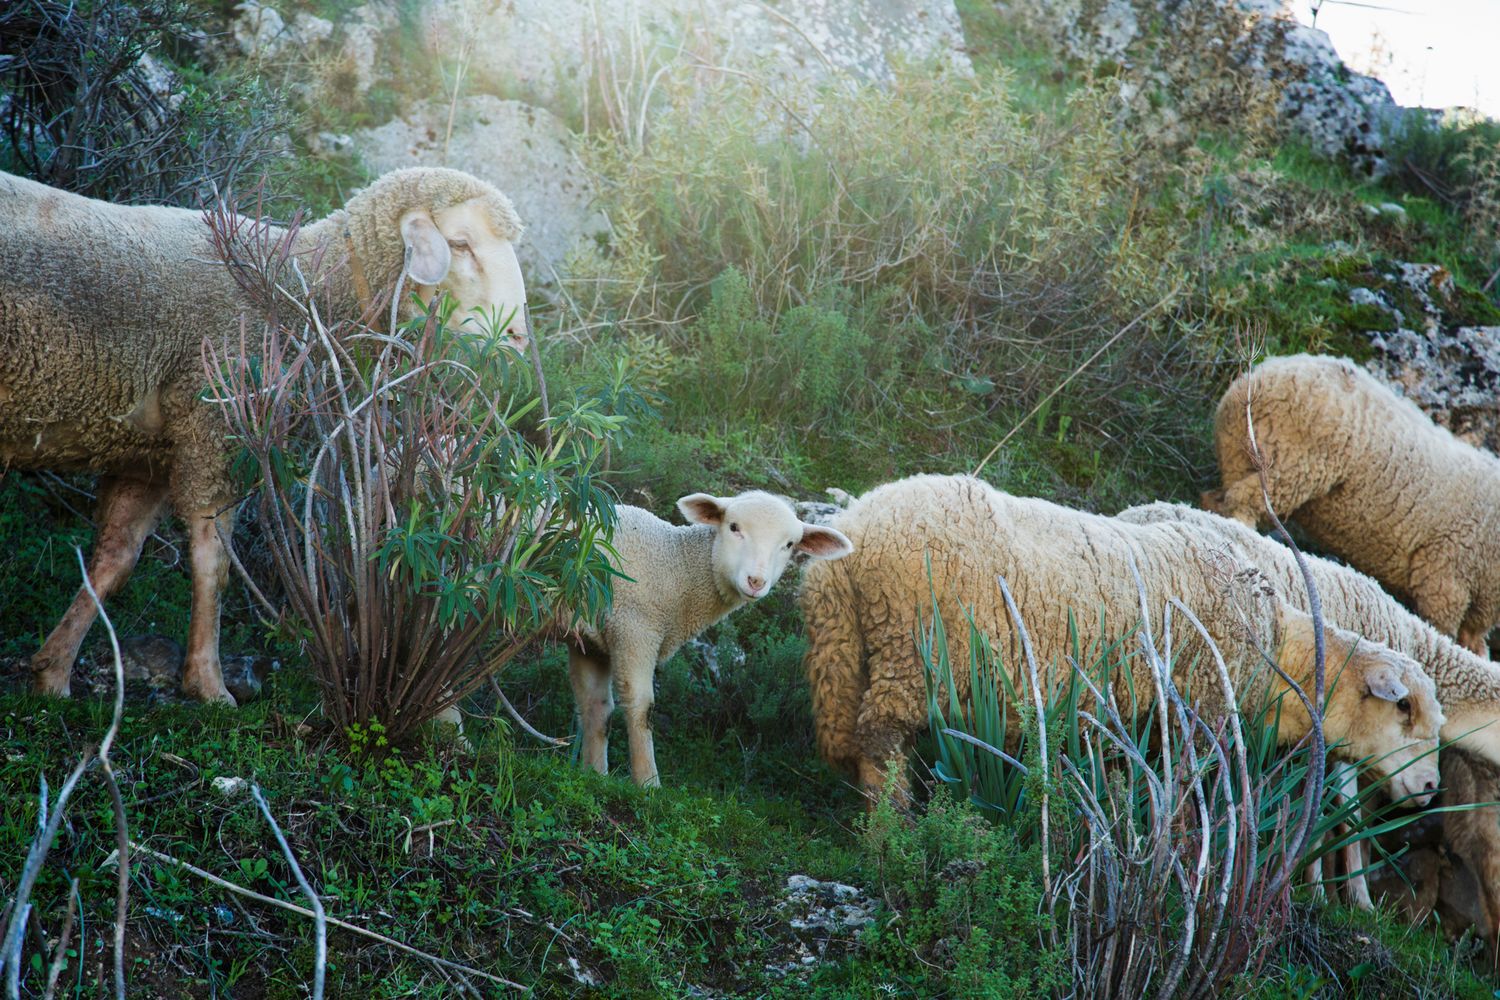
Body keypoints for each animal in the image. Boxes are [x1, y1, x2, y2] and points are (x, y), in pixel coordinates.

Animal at [0, 167, 529, 705]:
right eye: (460, 244)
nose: (518, 339)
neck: (297, 289)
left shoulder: (147, 455)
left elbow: (115, 560)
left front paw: (53, 672)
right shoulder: (214, 428)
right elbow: (214, 564)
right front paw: (209, 685)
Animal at [569, 491, 853, 787]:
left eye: (788, 544)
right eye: (734, 527)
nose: (756, 581)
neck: (677, 565)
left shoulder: (591, 640)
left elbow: (596, 709)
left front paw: (594, 775)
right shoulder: (634, 628)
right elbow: (641, 708)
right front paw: (648, 784)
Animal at [800, 474, 1442, 805]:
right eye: (1403, 708)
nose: (1434, 788)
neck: (1278, 656)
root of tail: (858, 528)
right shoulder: (1200, 712)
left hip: (847, 642)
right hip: (916, 648)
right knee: (881, 736)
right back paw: (893, 832)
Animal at [1207, 353, 1500, 654]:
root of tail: (1259, 376)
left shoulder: (1477, 604)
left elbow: (1473, 641)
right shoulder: (1445, 579)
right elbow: (1445, 631)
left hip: (1239, 455)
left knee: (1218, 499)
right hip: (1288, 464)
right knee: (1243, 502)